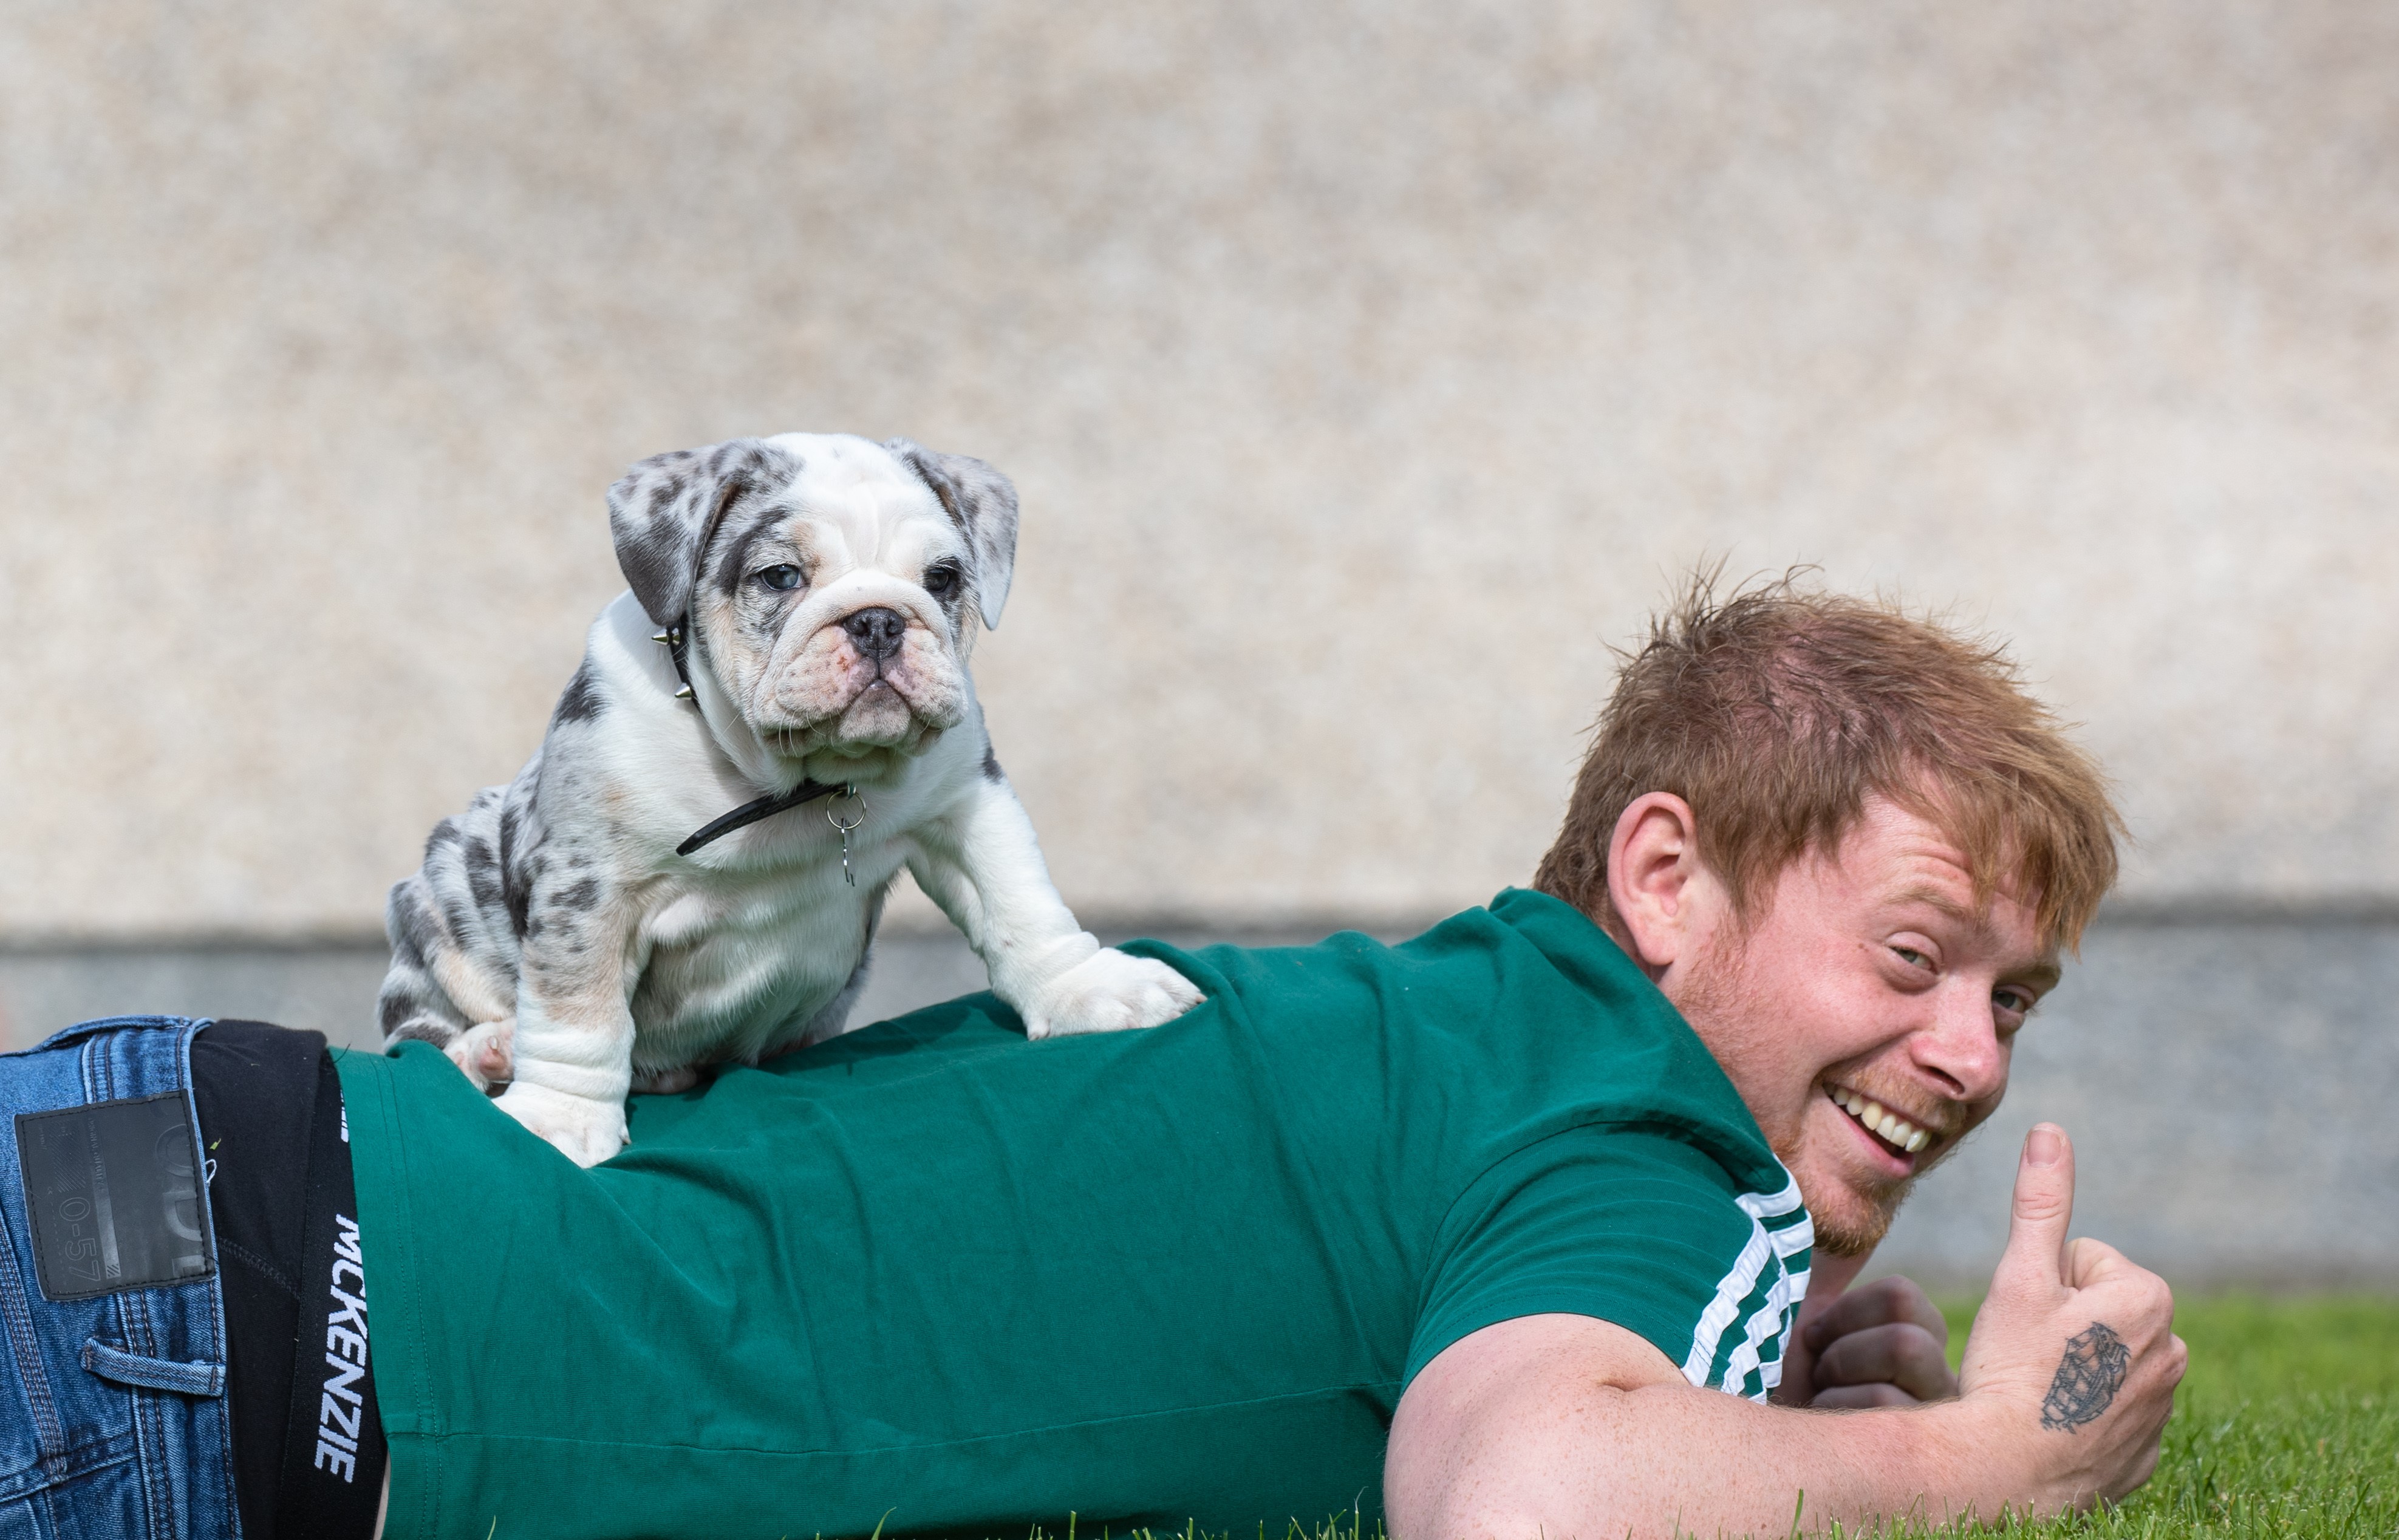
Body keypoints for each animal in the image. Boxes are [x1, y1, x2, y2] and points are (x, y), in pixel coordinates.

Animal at [374, 432, 1200, 1160]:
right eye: (779, 577)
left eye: (942, 579)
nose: (878, 618)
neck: (793, 781)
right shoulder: (588, 883)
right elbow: (579, 1010)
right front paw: (559, 1118)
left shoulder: (968, 801)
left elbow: (1023, 904)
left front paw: (1091, 988)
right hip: (438, 894)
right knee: (414, 1033)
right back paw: (489, 1052)